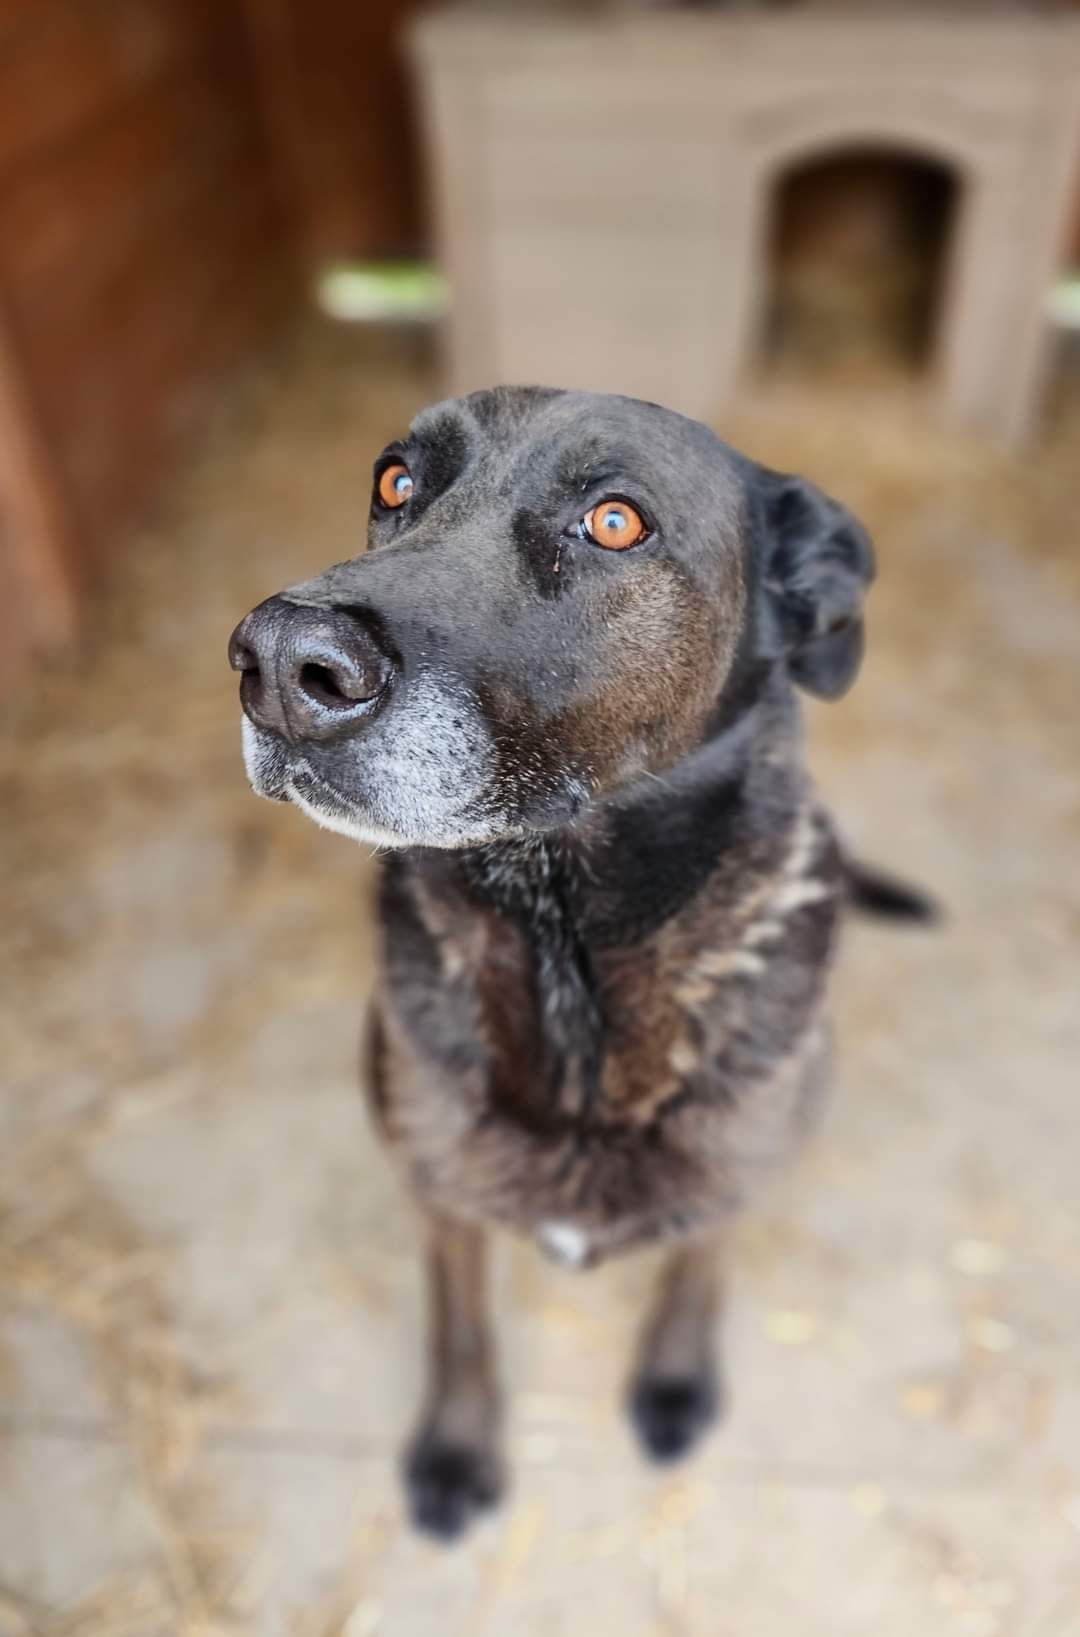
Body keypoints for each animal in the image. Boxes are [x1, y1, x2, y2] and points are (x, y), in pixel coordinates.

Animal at [225, 389, 929, 1538]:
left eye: (614, 521)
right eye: (394, 482)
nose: (281, 662)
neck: (565, 948)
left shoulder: (736, 1169)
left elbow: (699, 1267)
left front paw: (676, 1379)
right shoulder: (442, 1191)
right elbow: (460, 1327)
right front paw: (458, 1447)